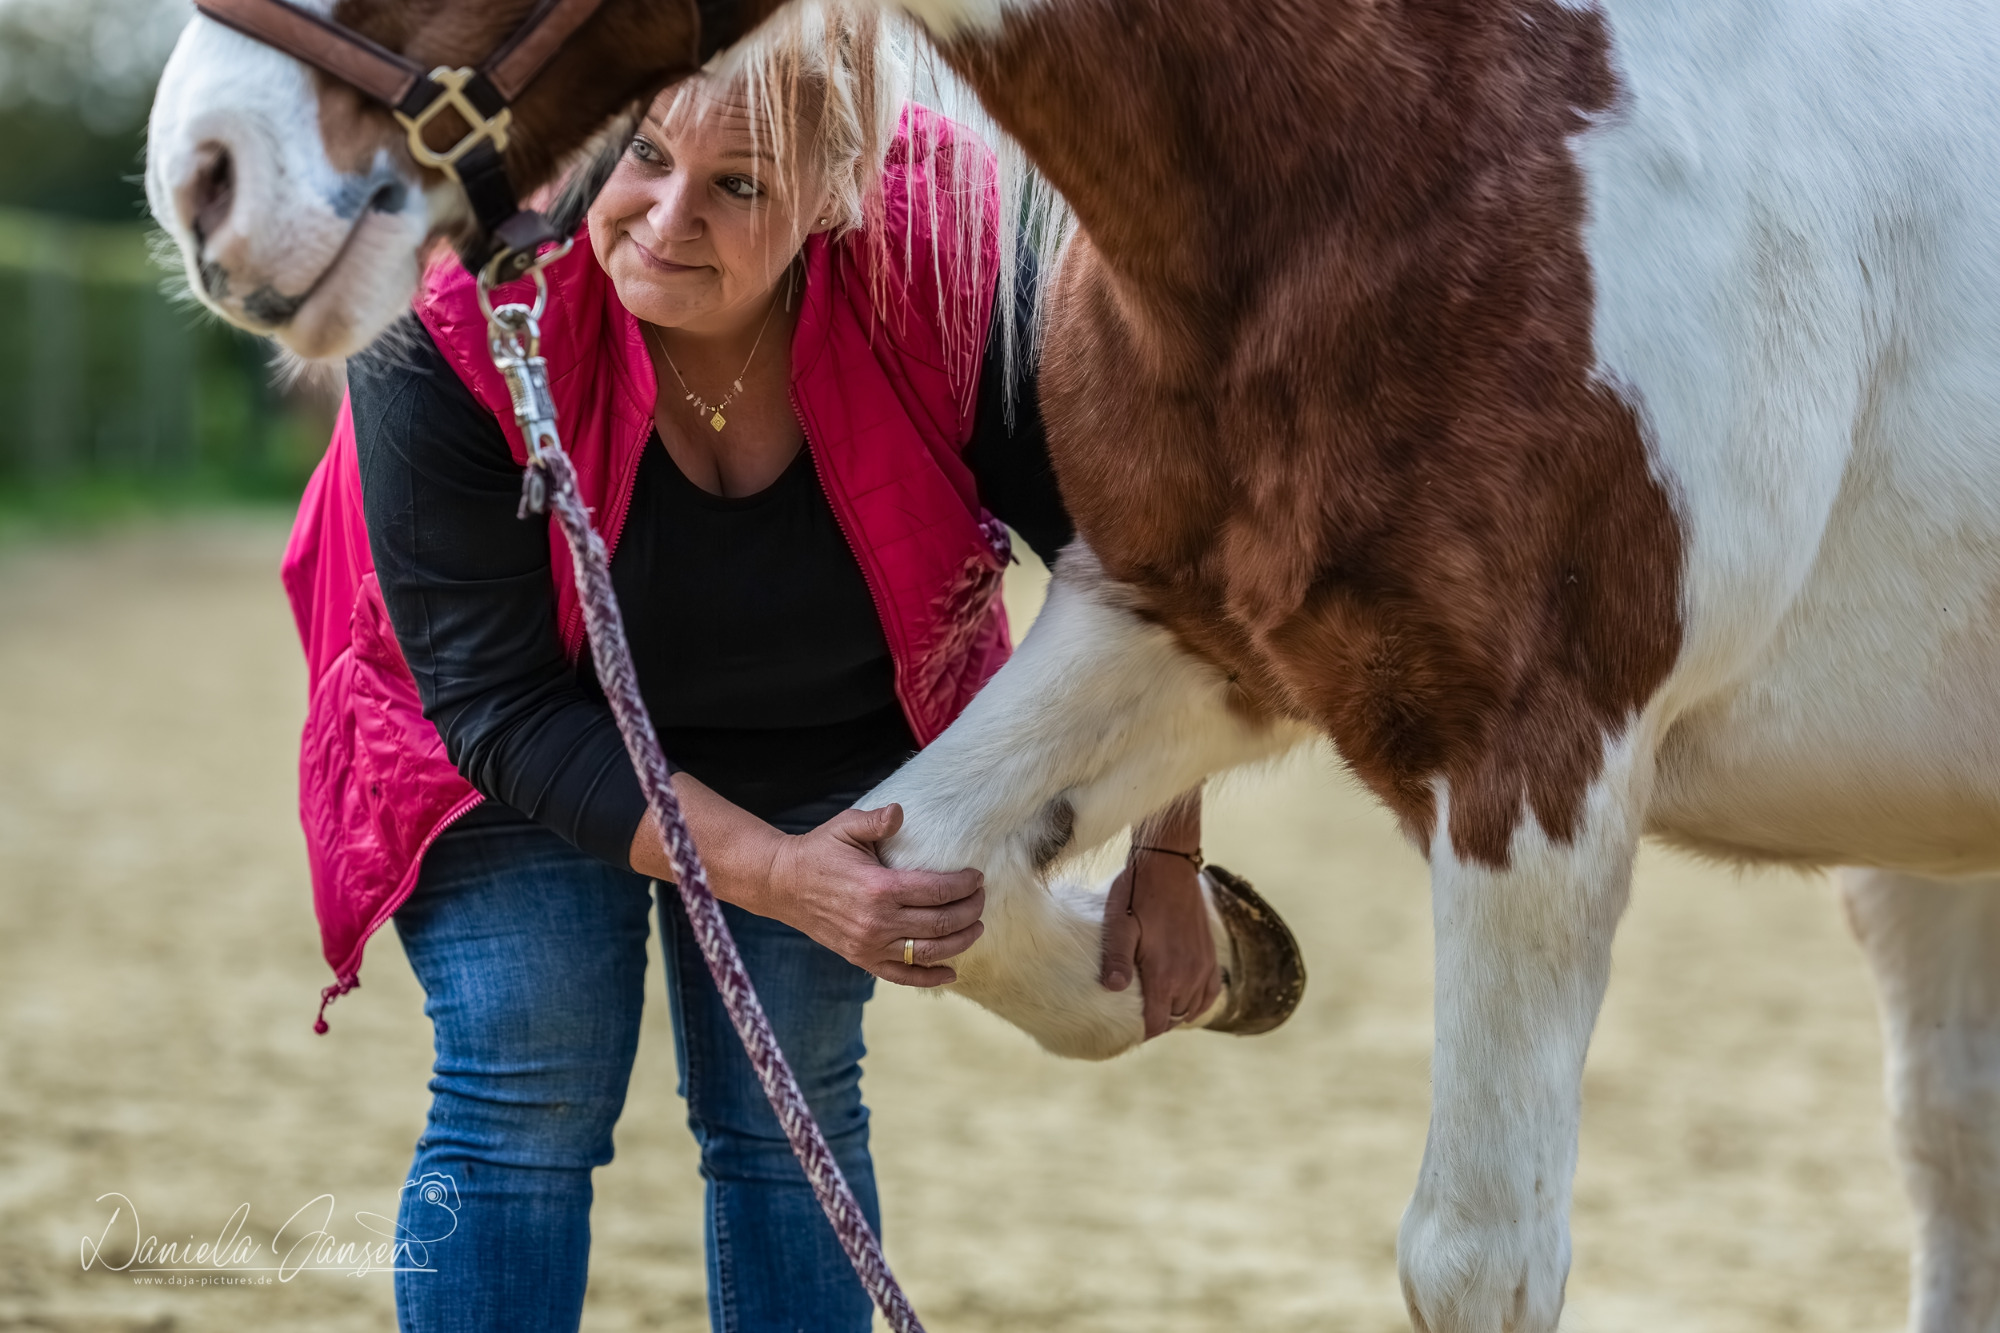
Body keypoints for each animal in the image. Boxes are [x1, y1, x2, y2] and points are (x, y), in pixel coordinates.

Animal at [145, 1, 2000, 1329]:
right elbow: (928, 861)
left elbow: (1480, 1257)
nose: (206, 172)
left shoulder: (1538, 763)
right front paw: (1191, 950)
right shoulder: (1173, 626)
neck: (1449, 140)